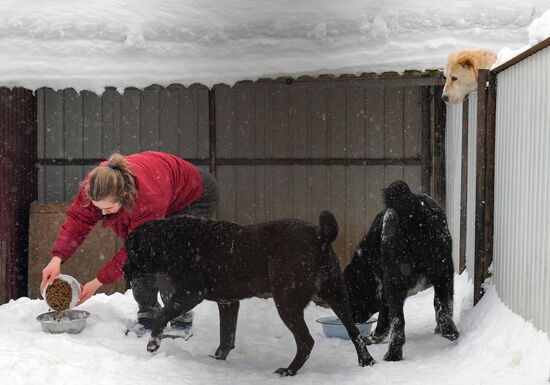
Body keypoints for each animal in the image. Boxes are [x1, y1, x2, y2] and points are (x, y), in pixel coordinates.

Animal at [125, 210, 376, 376]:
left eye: (130, 250)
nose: (124, 270)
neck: (172, 240)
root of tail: (320, 235)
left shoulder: (190, 293)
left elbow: (162, 315)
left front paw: (153, 343)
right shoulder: (228, 302)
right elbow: (226, 337)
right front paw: (218, 359)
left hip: (286, 301)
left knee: (306, 341)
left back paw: (289, 370)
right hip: (339, 296)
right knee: (354, 332)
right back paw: (366, 361)